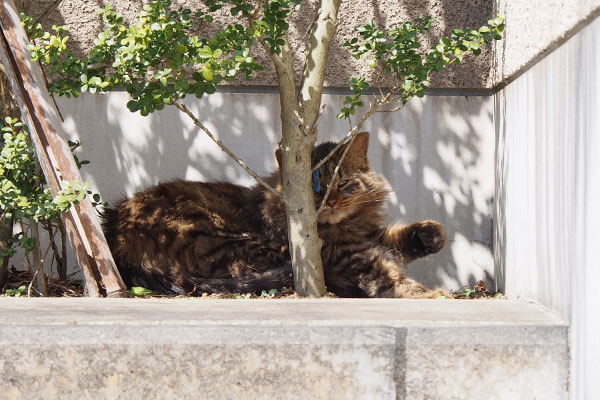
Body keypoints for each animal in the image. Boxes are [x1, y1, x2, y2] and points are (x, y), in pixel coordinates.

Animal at [102, 133, 450, 298]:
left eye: (342, 184)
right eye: (314, 188)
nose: (331, 202)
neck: (346, 228)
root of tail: (116, 229)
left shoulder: (366, 237)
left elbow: (395, 237)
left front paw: (431, 234)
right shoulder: (350, 256)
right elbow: (389, 277)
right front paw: (431, 296)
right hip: (235, 240)